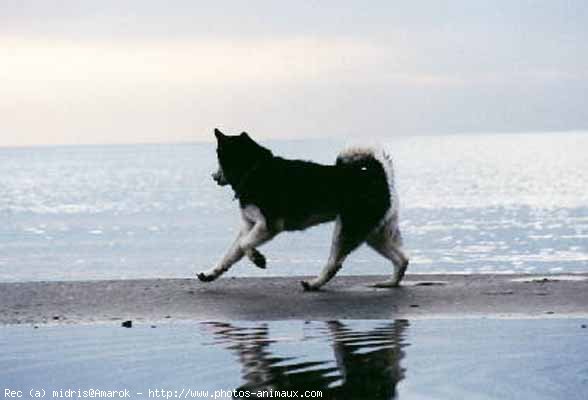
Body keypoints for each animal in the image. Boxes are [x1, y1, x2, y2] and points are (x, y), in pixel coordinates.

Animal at [198, 129, 408, 290]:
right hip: (374, 234)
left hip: (348, 230)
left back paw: (314, 284)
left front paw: (257, 258)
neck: (254, 169)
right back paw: (391, 282)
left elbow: (244, 245)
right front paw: (211, 274)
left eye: (218, 158)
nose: (213, 176)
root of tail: (379, 176)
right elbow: (231, 254)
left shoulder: (268, 226)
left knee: (334, 264)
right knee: (402, 259)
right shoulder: (249, 226)